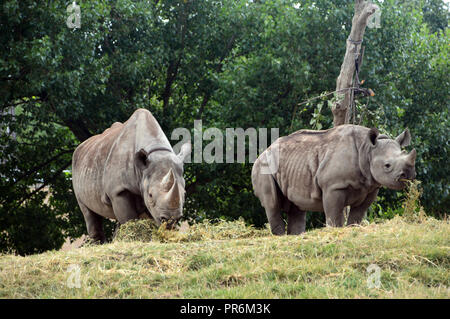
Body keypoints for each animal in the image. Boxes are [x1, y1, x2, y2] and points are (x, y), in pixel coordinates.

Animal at [71, 109, 190, 244]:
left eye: (184, 194)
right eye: (150, 195)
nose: (170, 220)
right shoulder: (118, 190)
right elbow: (128, 218)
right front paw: (134, 236)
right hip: (78, 167)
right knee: (88, 211)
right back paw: (98, 244)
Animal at [251, 124, 416, 235]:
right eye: (387, 165)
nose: (409, 176)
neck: (367, 150)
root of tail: (263, 152)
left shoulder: (370, 188)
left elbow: (358, 214)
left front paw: (352, 229)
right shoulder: (334, 186)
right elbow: (334, 214)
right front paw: (335, 231)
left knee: (297, 207)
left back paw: (295, 236)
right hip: (263, 166)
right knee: (272, 203)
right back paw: (281, 237)